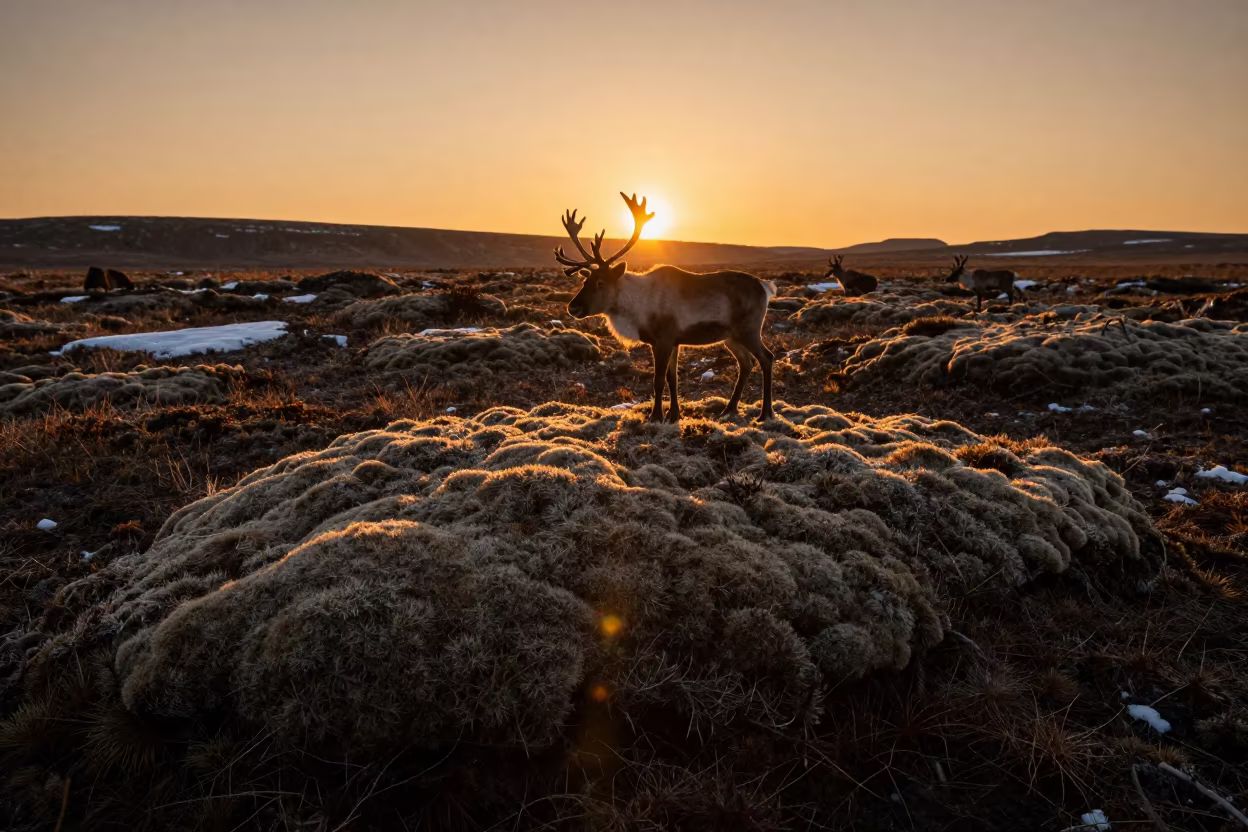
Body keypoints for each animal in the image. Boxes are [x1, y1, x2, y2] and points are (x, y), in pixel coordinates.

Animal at [556, 192, 776, 423]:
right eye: (585, 281)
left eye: (601, 283)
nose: (573, 308)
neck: (638, 303)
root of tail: (765, 287)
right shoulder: (673, 341)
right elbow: (672, 378)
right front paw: (674, 415)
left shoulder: (663, 340)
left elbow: (659, 379)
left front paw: (655, 416)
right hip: (731, 337)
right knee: (746, 363)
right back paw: (729, 410)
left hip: (749, 330)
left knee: (766, 358)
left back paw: (765, 413)